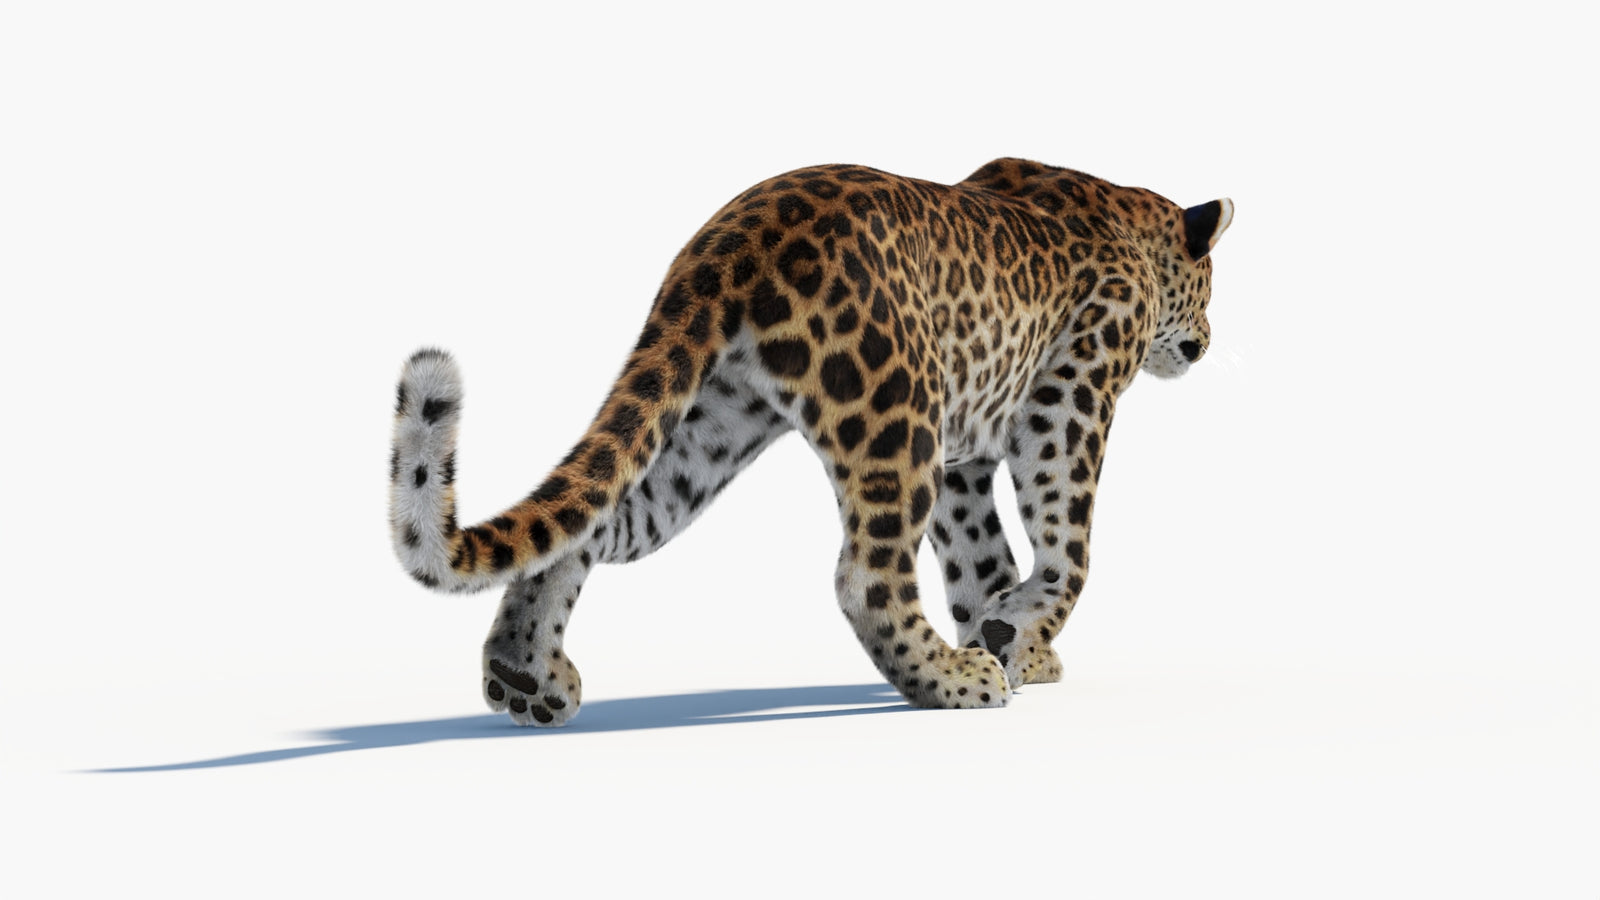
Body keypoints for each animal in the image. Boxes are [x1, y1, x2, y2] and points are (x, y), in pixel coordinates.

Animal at [388, 158, 1232, 726]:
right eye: (1212, 288)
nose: (1208, 341)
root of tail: (731, 236)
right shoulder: (1068, 405)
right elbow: (1070, 550)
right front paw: (1010, 640)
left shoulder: (963, 455)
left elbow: (981, 557)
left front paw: (1007, 637)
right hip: (894, 410)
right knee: (865, 576)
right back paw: (949, 683)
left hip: (706, 432)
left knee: (591, 524)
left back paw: (524, 676)